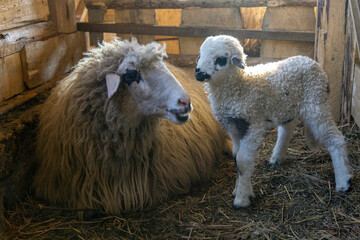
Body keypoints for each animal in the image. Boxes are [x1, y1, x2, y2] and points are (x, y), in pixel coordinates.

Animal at [194, 34, 352, 209]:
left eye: (221, 59)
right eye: (200, 54)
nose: (198, 73)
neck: (239, 86)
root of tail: (312, 62)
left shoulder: (253, 125)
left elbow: (243, 161)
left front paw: (242, 199)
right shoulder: (234, 128)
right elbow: (236, 159)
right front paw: (239, 190)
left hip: (316, 104)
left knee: (334, 139)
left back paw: (343, 182)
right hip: (288, 107)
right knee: (287, 130)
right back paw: (276, 158)